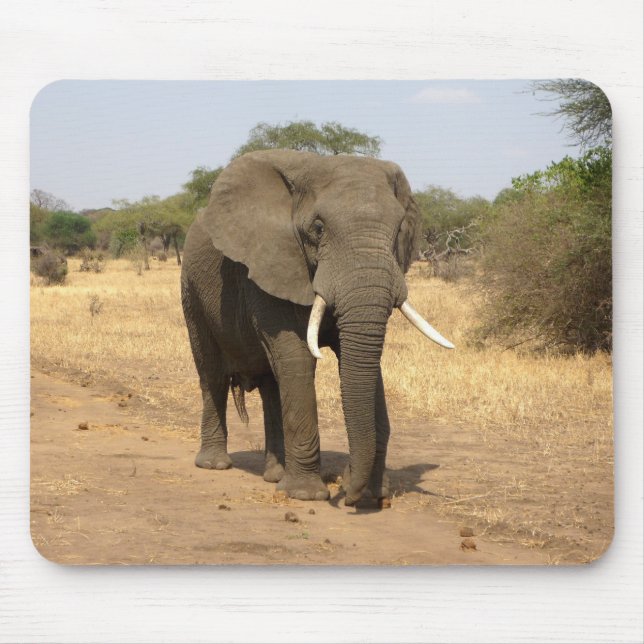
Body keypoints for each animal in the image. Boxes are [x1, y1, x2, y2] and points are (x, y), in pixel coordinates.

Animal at [180, 149, 453, 506]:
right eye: (319, 228)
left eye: (398, 231)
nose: (348, 494)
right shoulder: (271, 263)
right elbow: (298, 357)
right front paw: (306, 496)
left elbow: (360, 361)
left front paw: (372, 493)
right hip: (191, 290)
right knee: (211, 373)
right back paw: (215, 465)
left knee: (271, 384)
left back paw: (275, 475)